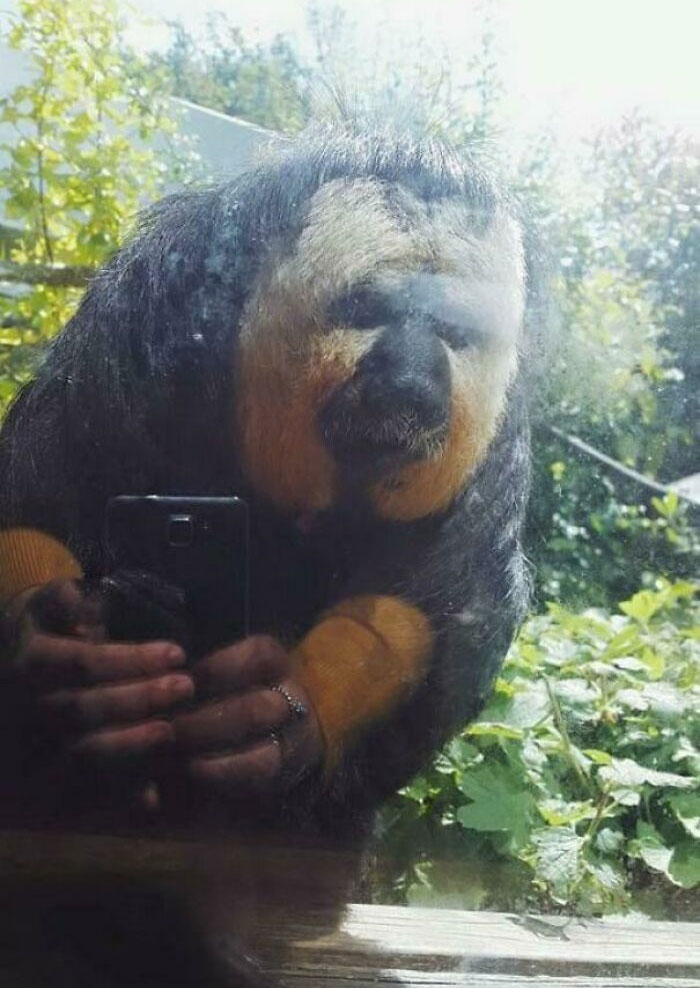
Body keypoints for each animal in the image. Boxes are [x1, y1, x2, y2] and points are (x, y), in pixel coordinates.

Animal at [0, 126, 531, 983]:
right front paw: (64, 659)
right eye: (371, 312)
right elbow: (40, 506)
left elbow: (435, 605)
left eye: (454, 336)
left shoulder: (498, 428)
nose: (414, 381)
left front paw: (280, 729)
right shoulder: (148, 306)